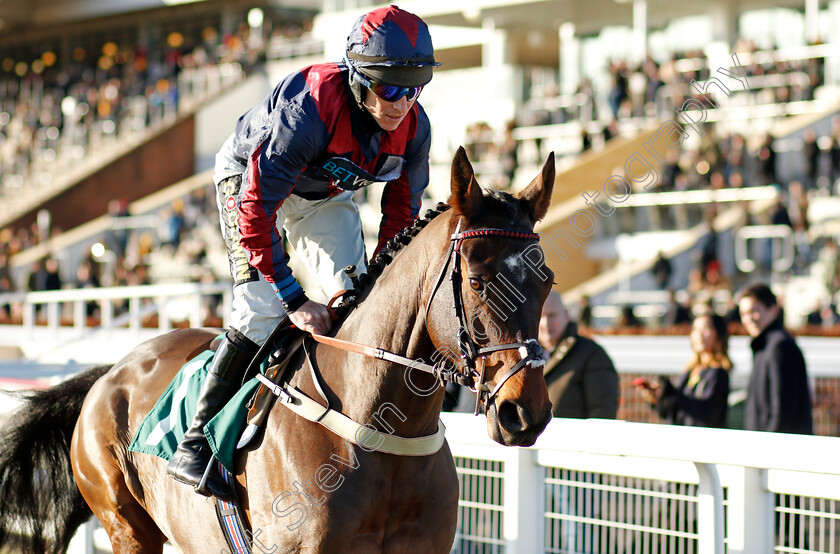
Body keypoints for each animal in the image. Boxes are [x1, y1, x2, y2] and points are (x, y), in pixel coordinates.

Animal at [0, 148, 556, 552]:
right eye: (478, 281)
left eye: (546, 280)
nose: (525, 412)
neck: (378, 429)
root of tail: (109, 373)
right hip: (126, 525)